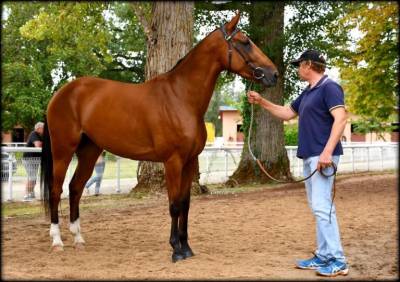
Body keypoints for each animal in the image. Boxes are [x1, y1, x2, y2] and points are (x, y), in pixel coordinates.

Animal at [41, 13, 278, 262]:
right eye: (245, 42)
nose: (273, 74)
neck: (181, 98)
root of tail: (61, 93)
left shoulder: (189, 161)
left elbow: (185, 204)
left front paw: (187, 247)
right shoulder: (172, 161)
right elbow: (174, 205)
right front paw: (176, 249)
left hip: (89, 150)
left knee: (75, 188)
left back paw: (78, 238)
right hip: (63, 150)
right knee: (56, 191)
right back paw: (57, 241)